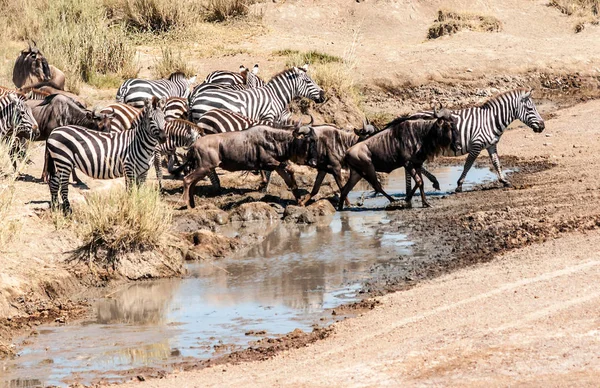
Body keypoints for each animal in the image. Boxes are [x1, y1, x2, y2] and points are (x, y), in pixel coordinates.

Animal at [406, 90, 548, 194]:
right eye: (530, 109)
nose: (542, 126)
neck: (491, 120)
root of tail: (409, 116)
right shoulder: (476, 145)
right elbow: (468, 165)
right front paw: (459, 185)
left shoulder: (491, 145)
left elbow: (496, 162)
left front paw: (504, 181)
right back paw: (433, 181)